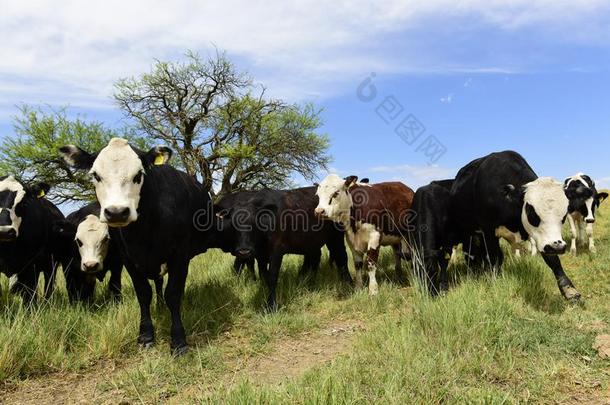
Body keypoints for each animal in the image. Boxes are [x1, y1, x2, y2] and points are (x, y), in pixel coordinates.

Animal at [59, 138, 211, 354]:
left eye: (139, 174)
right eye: (95, 175)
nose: (116, 212)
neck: (144, 230)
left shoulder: (179, 256)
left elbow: (173, 294)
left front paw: (179, 341)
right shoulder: (128, 259)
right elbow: (143, 293)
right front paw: (146, 337)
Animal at [448, 151, 576, 300]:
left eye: (564, 214)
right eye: (531, 212)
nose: (558, 247)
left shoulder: (544, 238)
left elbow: (553, 260)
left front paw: (569, 289)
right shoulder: (488, 230)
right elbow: (494, 258)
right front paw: (494, 283)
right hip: (467, 230)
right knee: (471, 251)